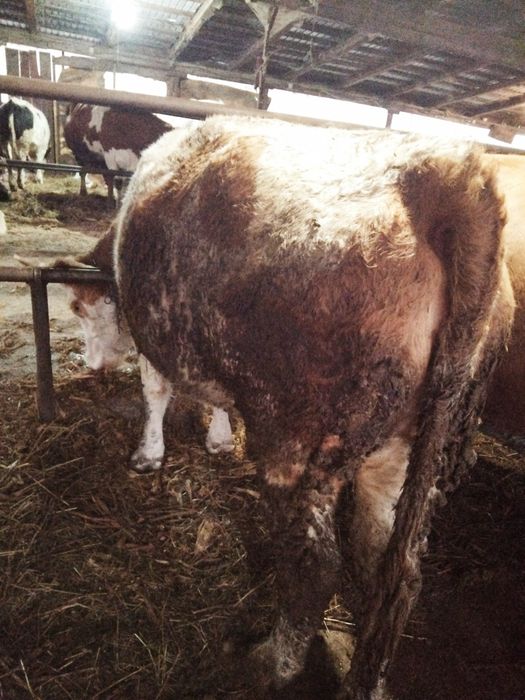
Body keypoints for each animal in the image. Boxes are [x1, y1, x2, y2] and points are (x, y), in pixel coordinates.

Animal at [58, 117, 514, 698]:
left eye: (78, 307)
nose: (90, 364)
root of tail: (451, 174)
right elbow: (215, 401)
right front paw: (218, 440)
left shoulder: (154, 332)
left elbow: (156, 391)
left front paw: (149, 454)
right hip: (408, 448)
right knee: (390, 568)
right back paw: (369, 678)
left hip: (297, 443)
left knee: (316, 567)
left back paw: (272, 662)